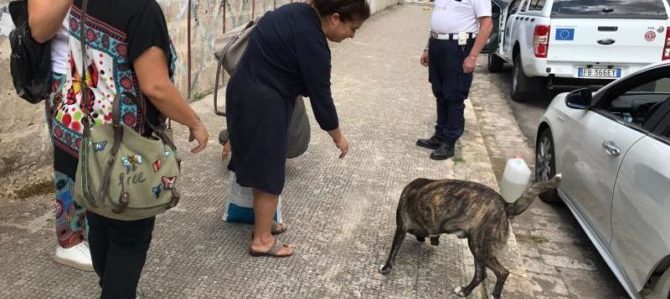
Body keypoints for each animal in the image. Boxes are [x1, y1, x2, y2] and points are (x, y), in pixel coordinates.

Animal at [380, 175, 564, 298]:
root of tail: (505, 205)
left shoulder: (401, 228)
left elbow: (393, 251)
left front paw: (385, 268)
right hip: (478, 249)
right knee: (480, 275)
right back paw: (464, 291)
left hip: (479, 247)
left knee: (502, 272)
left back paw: (493, 294)